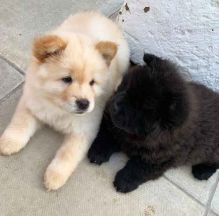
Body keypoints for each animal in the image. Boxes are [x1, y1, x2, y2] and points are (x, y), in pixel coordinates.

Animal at [0, 11, 129, 191]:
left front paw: (54, 177)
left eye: (92, 83)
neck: (58, 108)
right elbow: (21, 123)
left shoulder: (84, 130)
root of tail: (99, 16)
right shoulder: (31, 102)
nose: (84, 103)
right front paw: (9, 143)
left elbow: (67, 154)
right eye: (67, 79)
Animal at [87, 53, 219, 192]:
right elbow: (105, 136)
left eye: (141, 108)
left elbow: (137, 169)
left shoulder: (158, 159)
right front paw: (97, 152)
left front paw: (123, 181)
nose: (116, 105)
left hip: (211, 151)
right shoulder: (111, 123)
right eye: (125, 87)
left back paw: (203, 171)